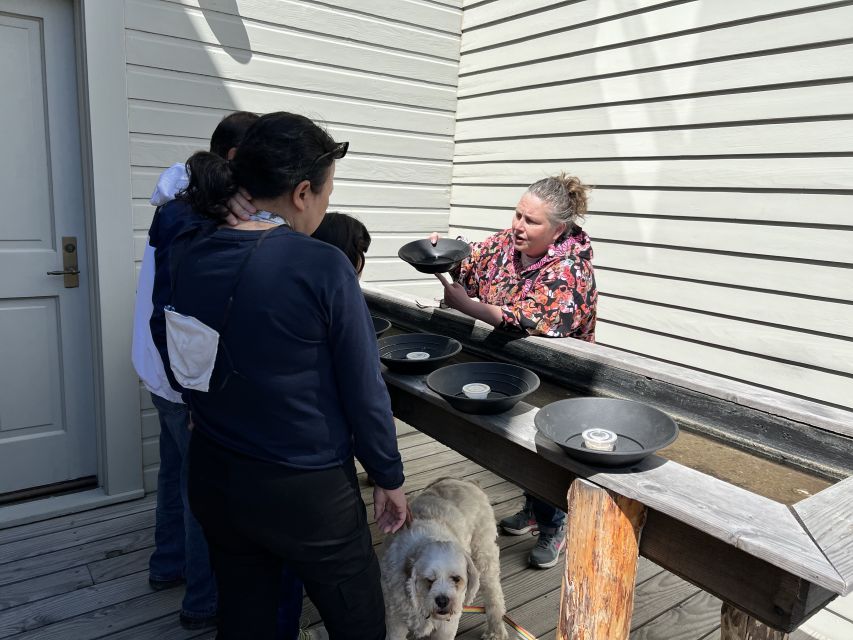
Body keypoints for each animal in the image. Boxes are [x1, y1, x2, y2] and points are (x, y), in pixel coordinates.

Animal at [382, 478, 510, 640]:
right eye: (429, 580)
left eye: (456, 579)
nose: (442, 600)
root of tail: (466, 481)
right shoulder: (394, 617)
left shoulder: (447, 626)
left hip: (483, 555)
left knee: (494, 595)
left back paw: (496, 630)